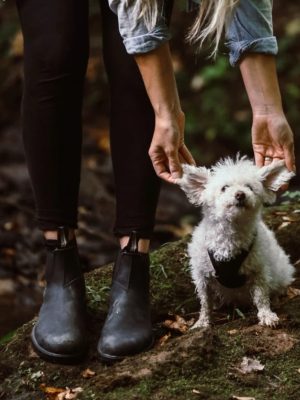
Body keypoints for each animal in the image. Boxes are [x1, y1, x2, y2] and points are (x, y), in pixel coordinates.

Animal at [176, 156, 296, 328]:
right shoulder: (202, 275)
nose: (240, 194)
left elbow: (261, 296)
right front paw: (203, 321)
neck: (231, 234)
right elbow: (205, 302)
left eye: (249, 187)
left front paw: (267, 315)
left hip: (281, 273)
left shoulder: (258, 271)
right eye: (224, 188)